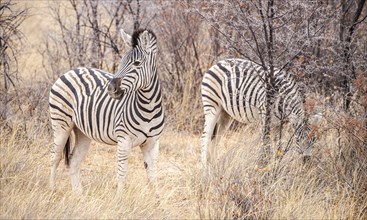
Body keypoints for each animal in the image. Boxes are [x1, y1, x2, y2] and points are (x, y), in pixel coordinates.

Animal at [49, 29, 165, 192]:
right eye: (121, 61)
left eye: (137, 63)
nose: (111, 89)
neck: (148, 108)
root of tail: (71, 71)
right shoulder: (124, 140)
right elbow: (122, 173)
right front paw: (120, 198)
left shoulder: (152, 143)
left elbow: (152, 174)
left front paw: (157, 198)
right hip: (61, 124)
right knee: (55, 156)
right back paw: (51, 190)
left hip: (82, 131)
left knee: (73, 160)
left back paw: (79, 194)